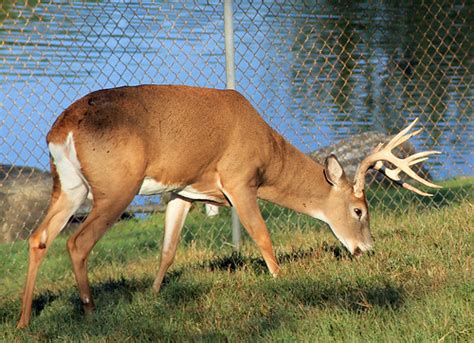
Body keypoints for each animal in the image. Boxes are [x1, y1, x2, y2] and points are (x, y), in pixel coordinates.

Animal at [17, 85, 440, 328]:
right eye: (359, 211)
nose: (366, 249)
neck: (268, 156)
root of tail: (60, 129)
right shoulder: (239, 179)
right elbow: (262, 235)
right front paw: (282, 281)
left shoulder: (183, 191)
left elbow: (168, 251)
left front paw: (153, 297)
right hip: (116, 185)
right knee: (77, 242)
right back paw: (90, 313)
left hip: (68, 186)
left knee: (38, 237)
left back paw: (23, 322)